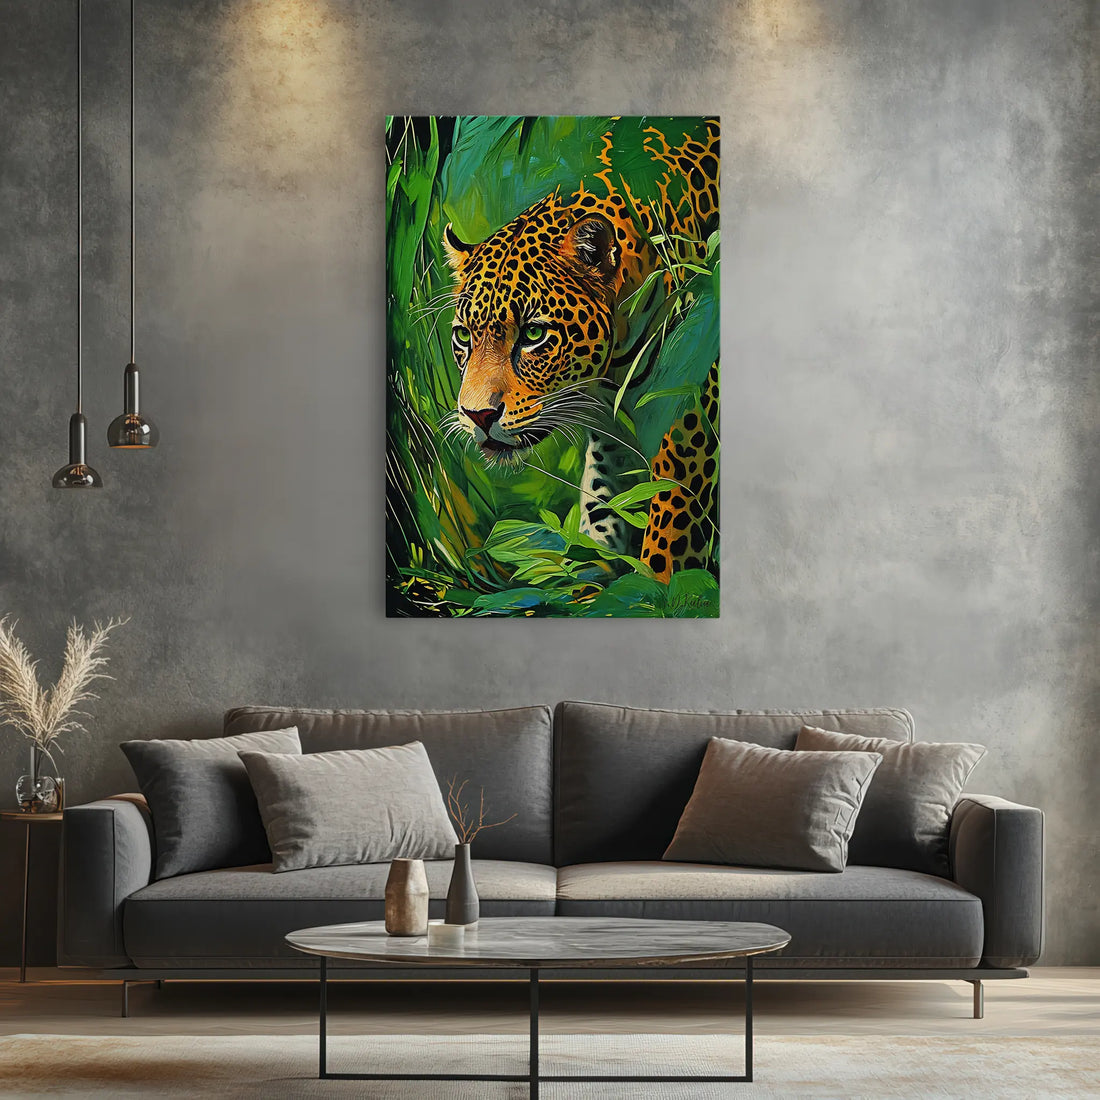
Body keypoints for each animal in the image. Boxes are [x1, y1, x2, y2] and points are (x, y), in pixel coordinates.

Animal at [442, 118, 720, 583]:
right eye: (465, 337)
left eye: (533, 333)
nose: (477, 416)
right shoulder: (611, 443)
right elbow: (601, 514)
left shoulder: (690, 426)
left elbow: (666, 554)